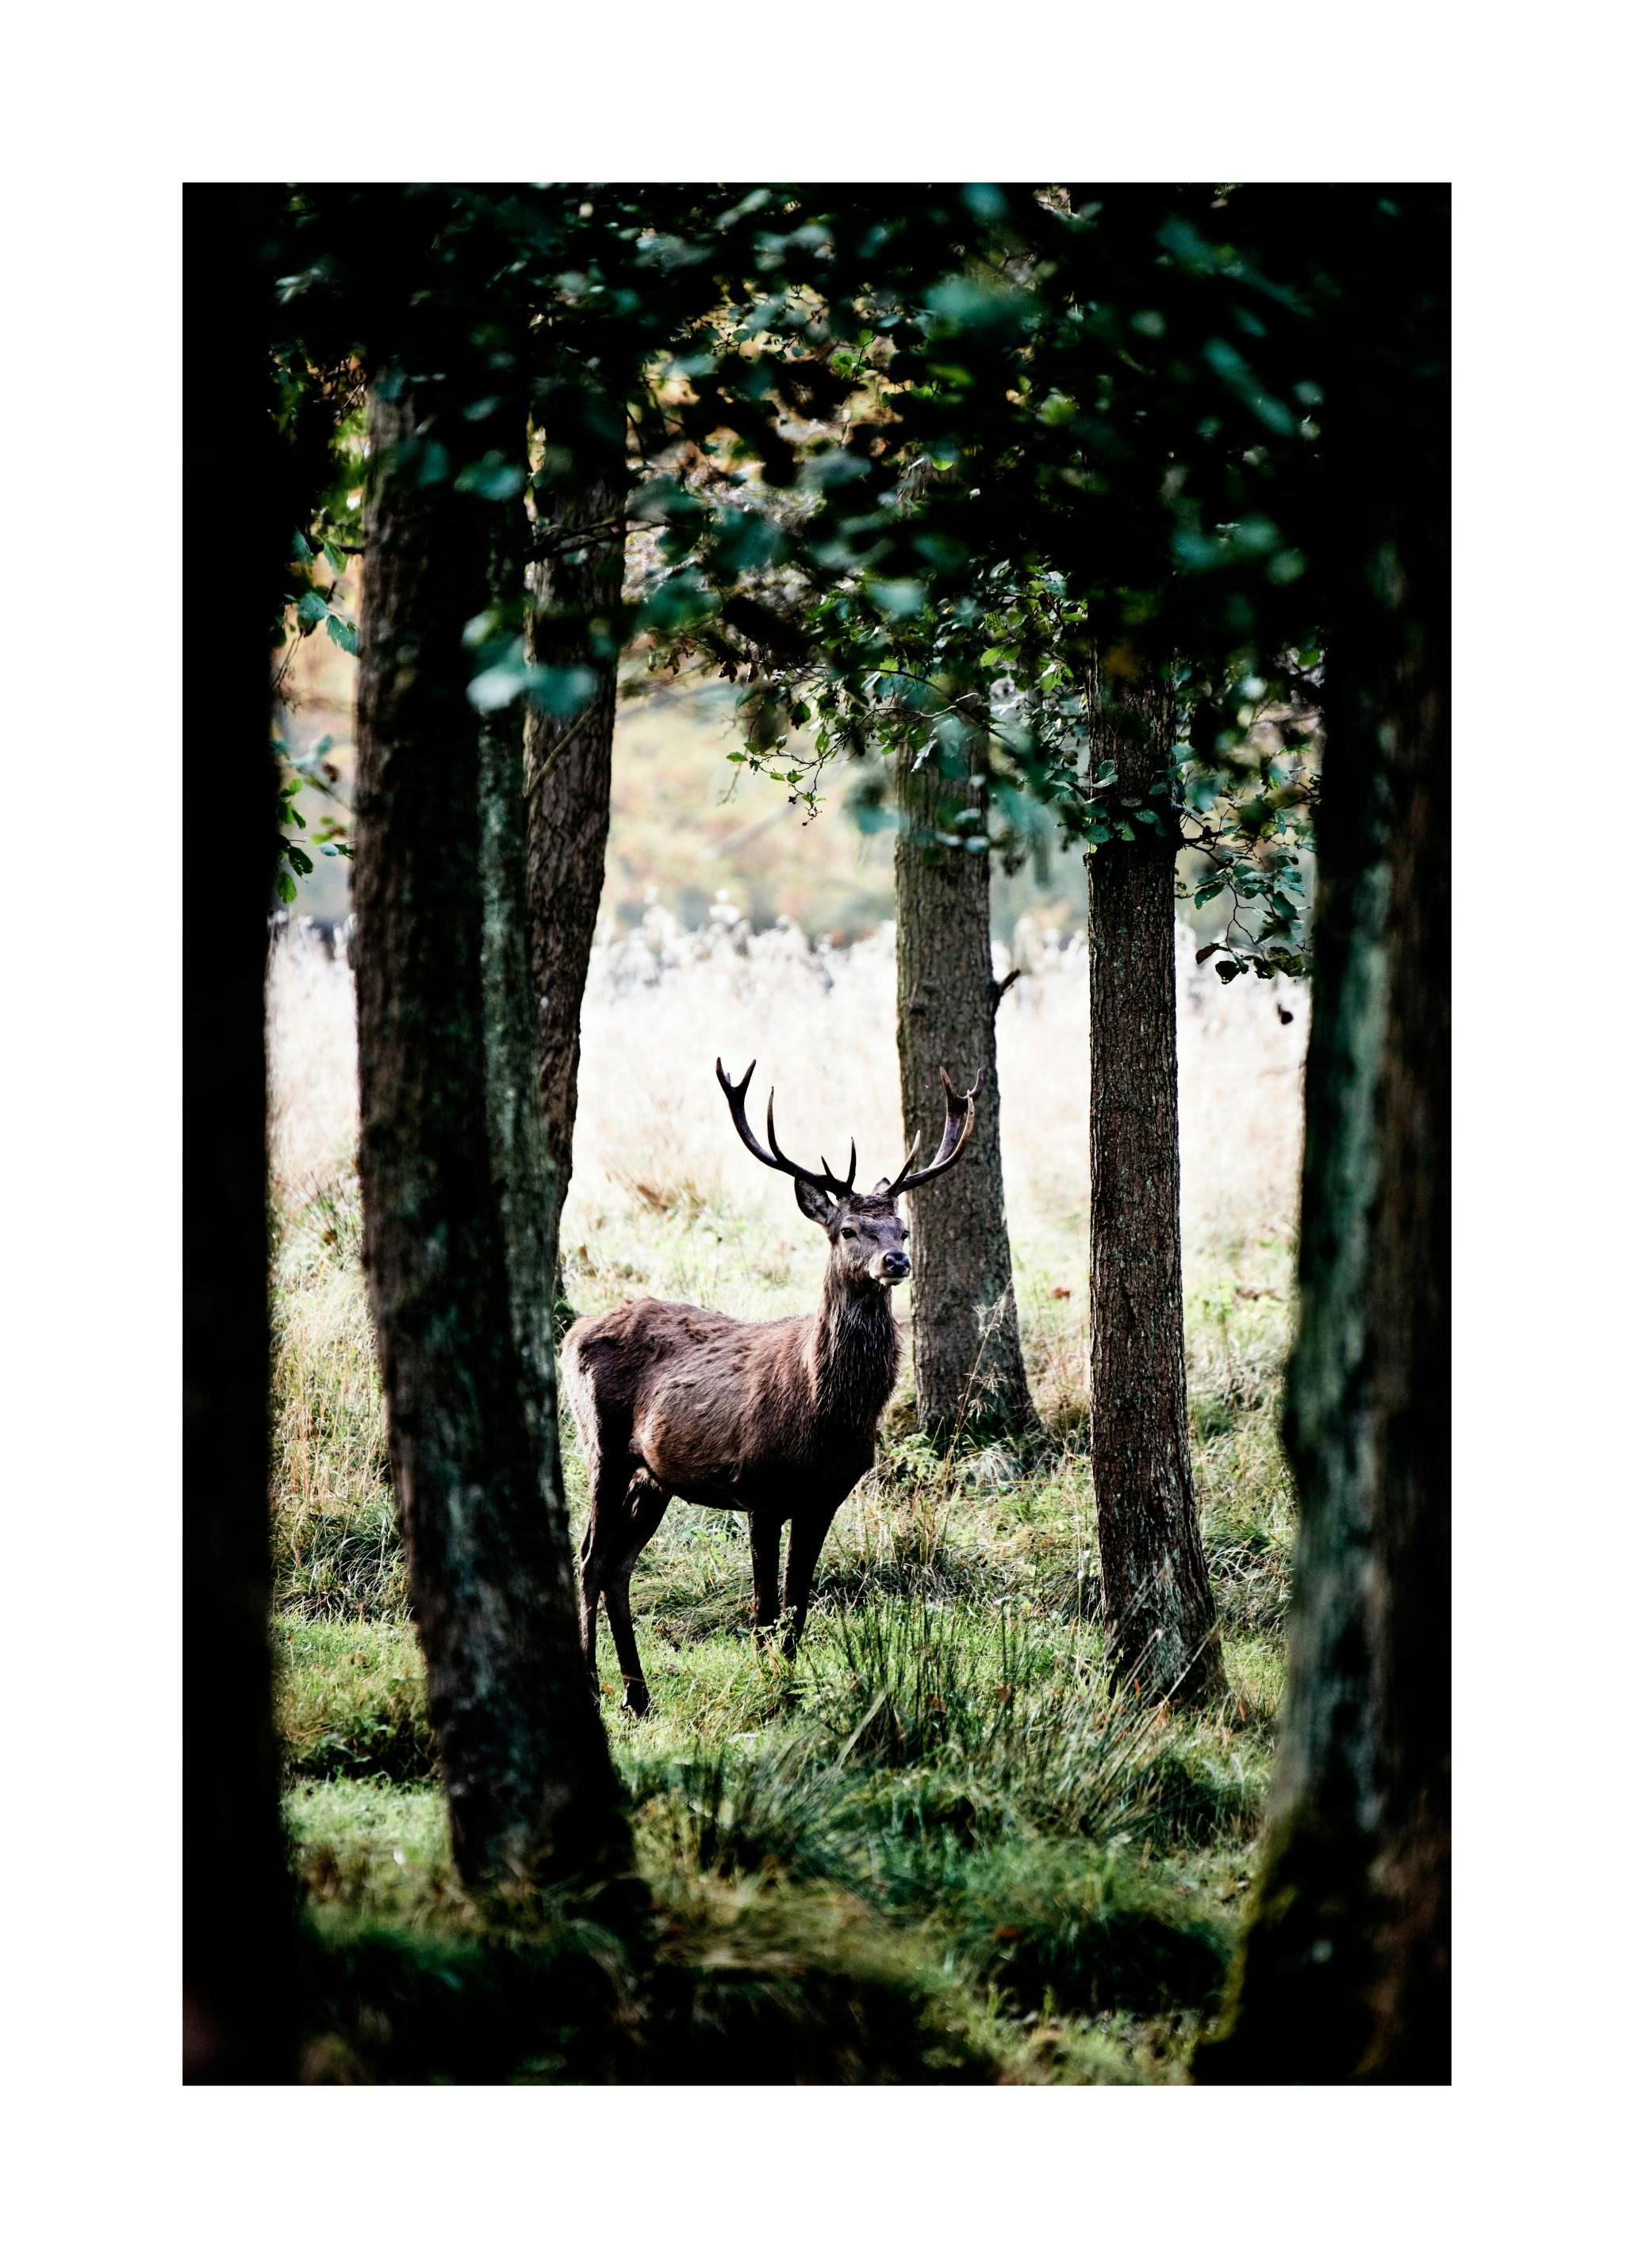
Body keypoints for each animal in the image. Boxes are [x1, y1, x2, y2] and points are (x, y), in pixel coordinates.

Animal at [560, 1057, 981, 1714]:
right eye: (848, 1229)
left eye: (903, 1229)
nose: (895, 1262)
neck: (825, 1417)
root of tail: (572, 1334)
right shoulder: (757, 1488)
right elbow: (762, 1608)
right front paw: (768, 1693)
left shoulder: (824, 1498)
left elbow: (798, 1607)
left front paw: (789, 1686)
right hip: (601, 1446)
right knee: (589, 1560)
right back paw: (592, 1684)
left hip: (653, 1477)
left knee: (618, 1565)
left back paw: (638, 1695)